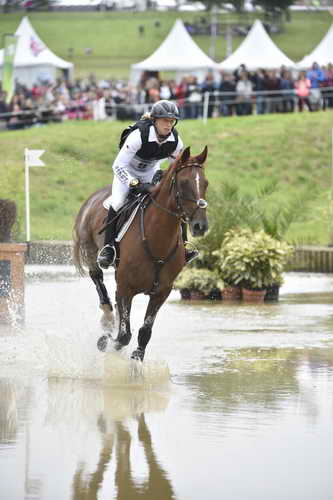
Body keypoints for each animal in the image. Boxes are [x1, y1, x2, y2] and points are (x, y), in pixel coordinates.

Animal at [72, 146, 208, 362]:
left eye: (205, 183)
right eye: (184, 183)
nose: (200, 226)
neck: (157, 240)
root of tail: (92, 197)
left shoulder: (161, 292)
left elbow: (144, 332)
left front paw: (136, 359)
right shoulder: (126, 287)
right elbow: (123, 335)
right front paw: (105, 341)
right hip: (90, 251)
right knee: (98, 279)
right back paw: (107, 316)